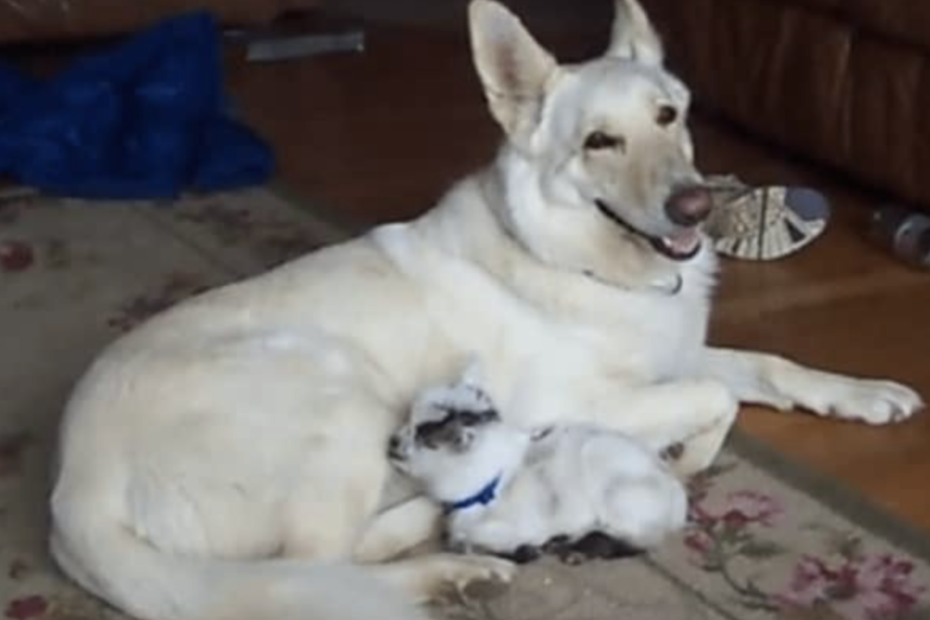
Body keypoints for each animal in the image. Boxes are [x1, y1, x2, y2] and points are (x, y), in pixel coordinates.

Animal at [388, 362, 688, 563]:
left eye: (419, 435)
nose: (391, 442)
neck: (492, 484)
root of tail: (678, 499)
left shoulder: (517, 525)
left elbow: (466, 543)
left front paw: (526, 550)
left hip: (618, 491)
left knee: (638, 541)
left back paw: (576, 549)